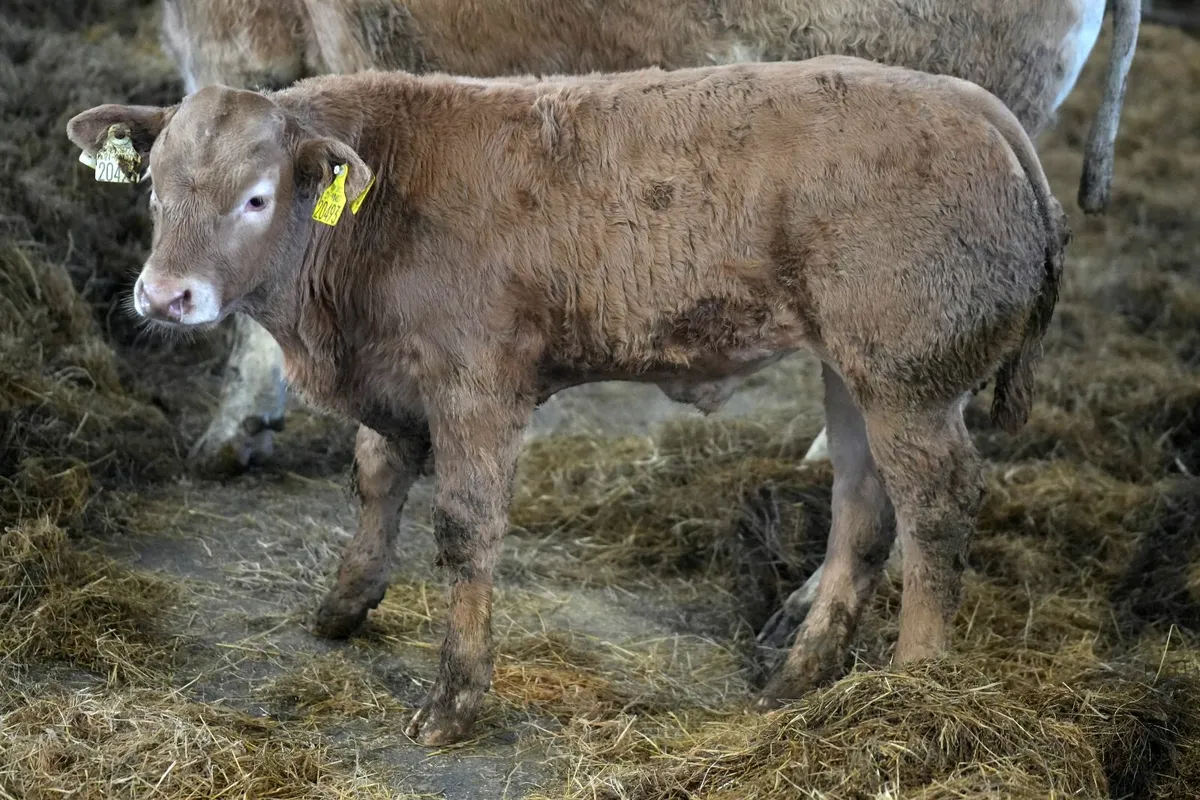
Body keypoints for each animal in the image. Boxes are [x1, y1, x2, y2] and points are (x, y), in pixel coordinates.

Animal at [67, 54, 1069, 744]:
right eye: (154, 189)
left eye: (256, 197)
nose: (166, 296)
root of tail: (972, 102)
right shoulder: (395, 380)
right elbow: (376, 478)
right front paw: (345, 606)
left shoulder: (478, 386)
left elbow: (465, 530)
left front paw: (455, 699)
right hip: (852, 368)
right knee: (863, 507)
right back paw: (800, 676)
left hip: (910, 378)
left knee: (935, 506)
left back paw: (915, 686)